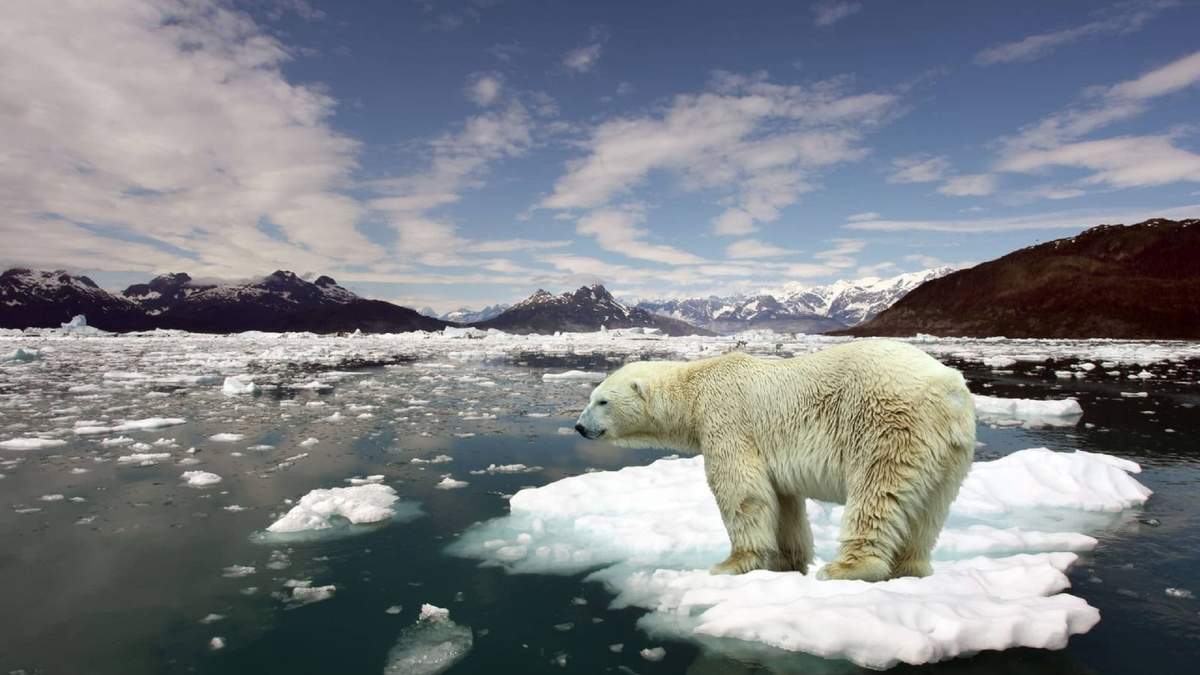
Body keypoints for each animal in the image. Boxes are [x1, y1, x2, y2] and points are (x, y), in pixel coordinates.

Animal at [573, 339, 976, 581]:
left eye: (601, 401)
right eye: (591, 397)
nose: (579, 427)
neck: (695, 388)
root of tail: (949, 389)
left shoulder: (726, 419)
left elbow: (741, 491)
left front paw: (731, 564)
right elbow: (783, 502)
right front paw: (787, 562)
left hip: (888, 425)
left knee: (877, 492)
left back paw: (846, 568)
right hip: (950, 452)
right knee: (929, 510)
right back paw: (911, 568)